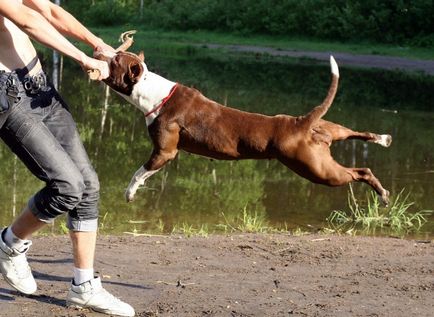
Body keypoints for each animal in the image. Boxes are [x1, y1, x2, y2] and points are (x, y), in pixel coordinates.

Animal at [93, 32, 392, 205]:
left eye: (116, 60)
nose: (99, 50)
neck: (155, 94)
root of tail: (302, 122)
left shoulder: (165, 152)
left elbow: (139, 172)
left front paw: (130, 193)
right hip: (326, 134)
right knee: (356, 137)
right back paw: (383, 139)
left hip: (316, 168)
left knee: (357, 172)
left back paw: (382, 192)